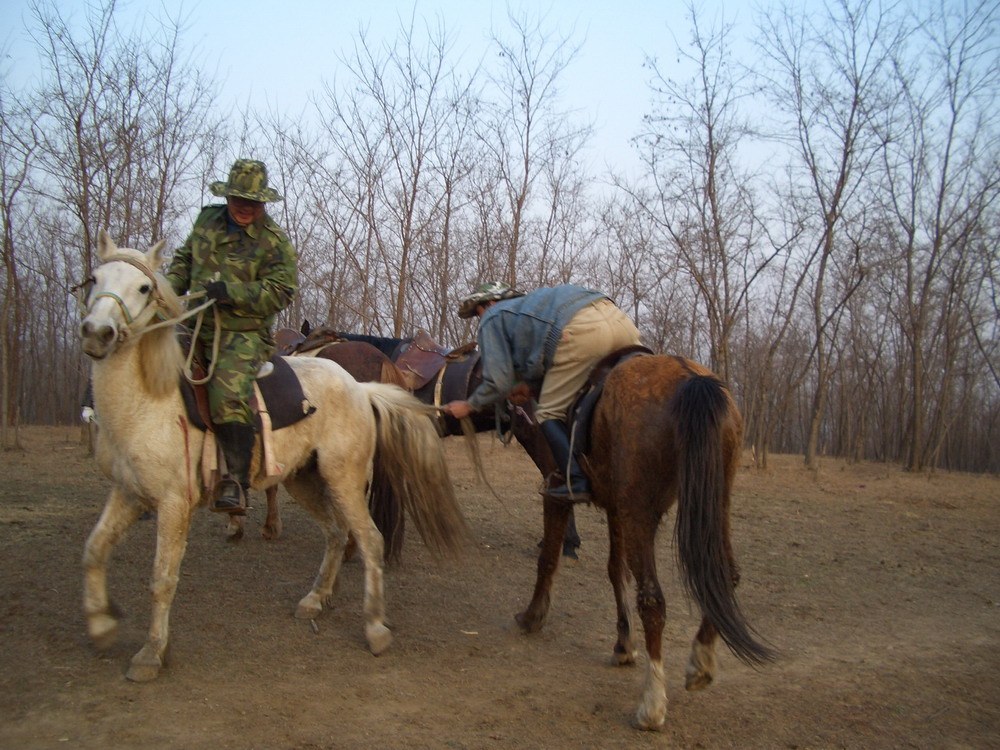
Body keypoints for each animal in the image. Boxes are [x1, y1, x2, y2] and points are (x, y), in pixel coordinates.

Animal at [78, 232, 468, 684]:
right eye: (95, 278)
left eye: (144, 287)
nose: (97, 333)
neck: (148, 402)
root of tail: (361, 388)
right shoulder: (127, 493)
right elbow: (94, 550)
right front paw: (101, 626)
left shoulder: (174, 504)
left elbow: (162, 578)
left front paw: (150, 653)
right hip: (305, 480)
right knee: (335, 533)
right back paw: (315, 598)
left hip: (344, 479)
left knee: (370, 539)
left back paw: (374, 628)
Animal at [512, 356, 776, 732]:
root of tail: (690, 378)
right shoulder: (616, 509)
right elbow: (615, 572)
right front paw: (624, 644)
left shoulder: (561, 496)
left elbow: (548, 558)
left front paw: (533, 616)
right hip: (714, 500)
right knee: (725, 574)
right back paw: (700, 661)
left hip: (641, 511)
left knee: (653, 599)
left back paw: (652, 704)